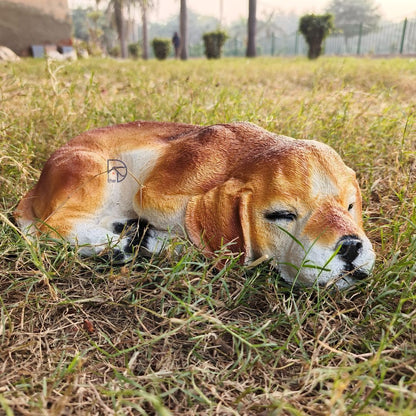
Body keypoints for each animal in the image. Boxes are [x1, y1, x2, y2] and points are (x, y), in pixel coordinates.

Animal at [14, 120, 376, 290]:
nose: (350, 246)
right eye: (282, 215)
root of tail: (35, 188)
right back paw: (119, 244)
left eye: (349, 206)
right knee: (52, 226)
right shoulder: (152, 193)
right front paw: (156, 241)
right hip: (97, 174)